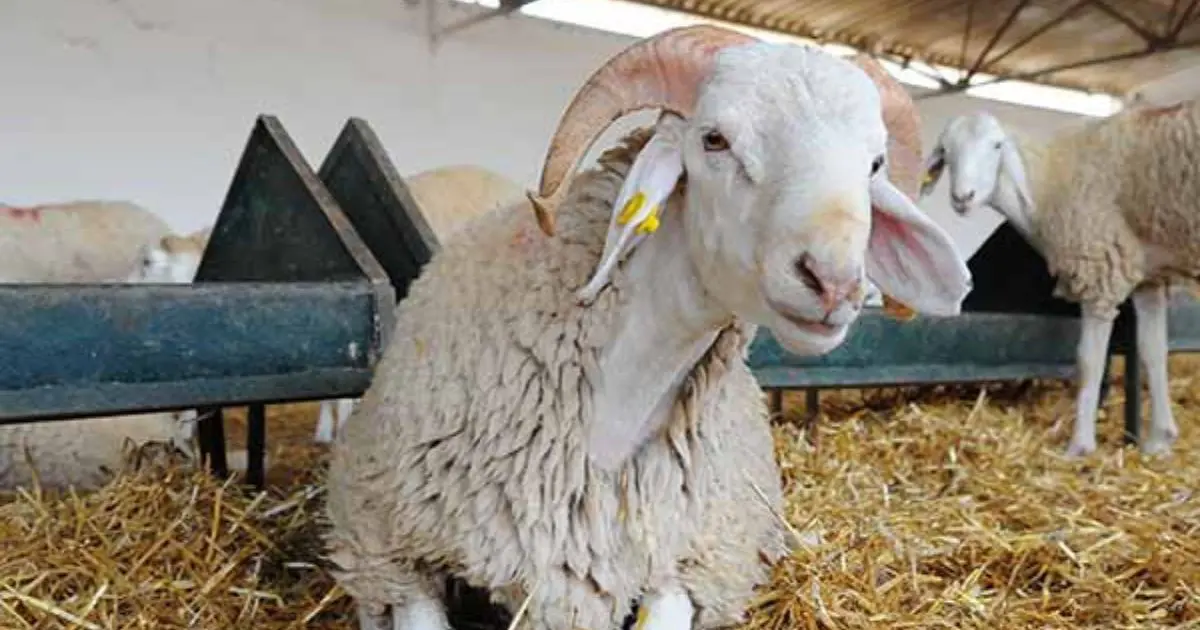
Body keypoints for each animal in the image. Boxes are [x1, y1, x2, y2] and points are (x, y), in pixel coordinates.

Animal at [919, 100, 1200, 457]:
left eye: (997, 146)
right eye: (945, 151)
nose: (962, 197)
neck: (1048, 182)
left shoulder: (1100, 268)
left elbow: (1089, 361)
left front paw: (1079, 446)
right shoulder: (1147, 275)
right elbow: (1153, 353)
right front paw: (1159, 441)